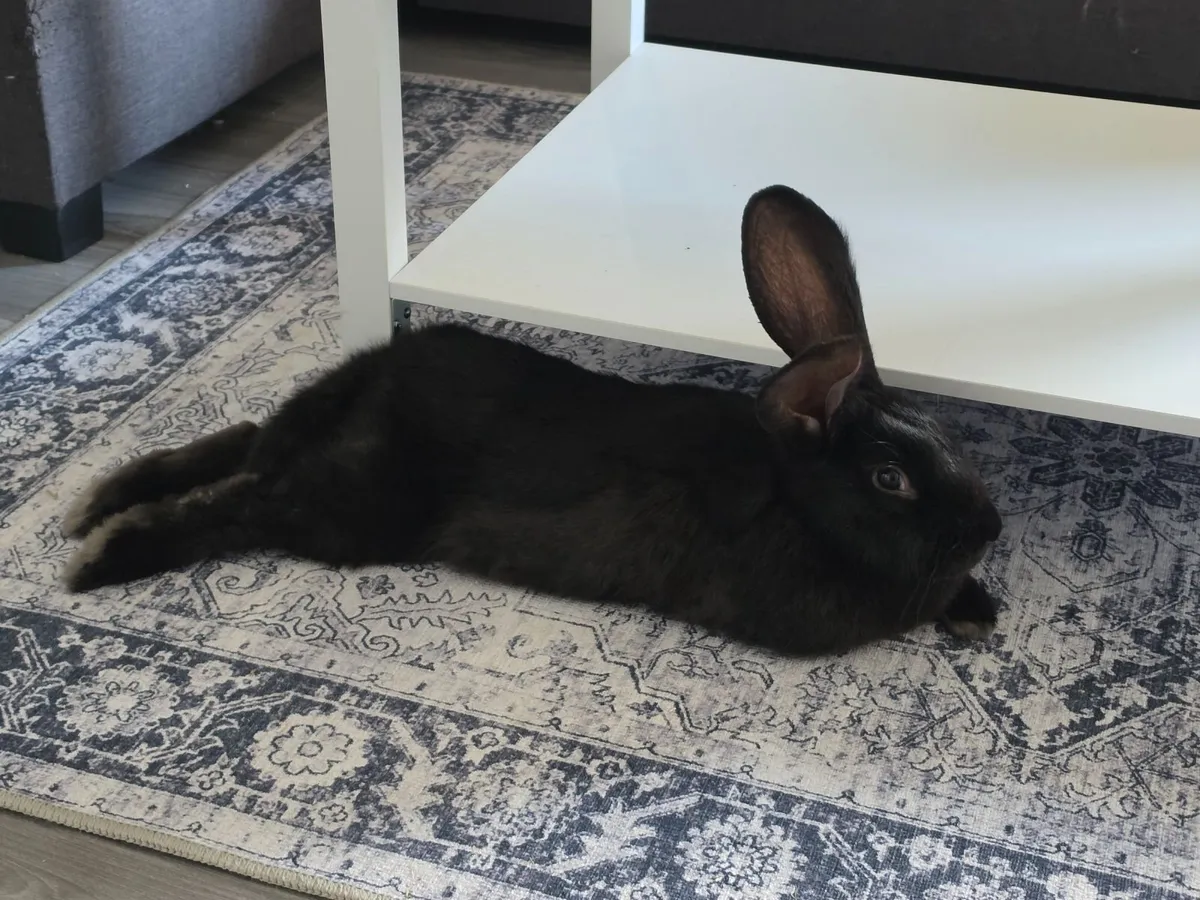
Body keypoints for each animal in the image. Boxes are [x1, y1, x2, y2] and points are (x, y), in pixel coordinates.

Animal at [60, 184, 1003, 656]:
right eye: (890, 479)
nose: (989, 529)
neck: (800, 507)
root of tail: (374, 381)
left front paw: (976, 608)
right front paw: (970, 608)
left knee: (243, 445)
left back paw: (94, 501)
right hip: (355, 512)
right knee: (241, 505)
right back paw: (103, 557)